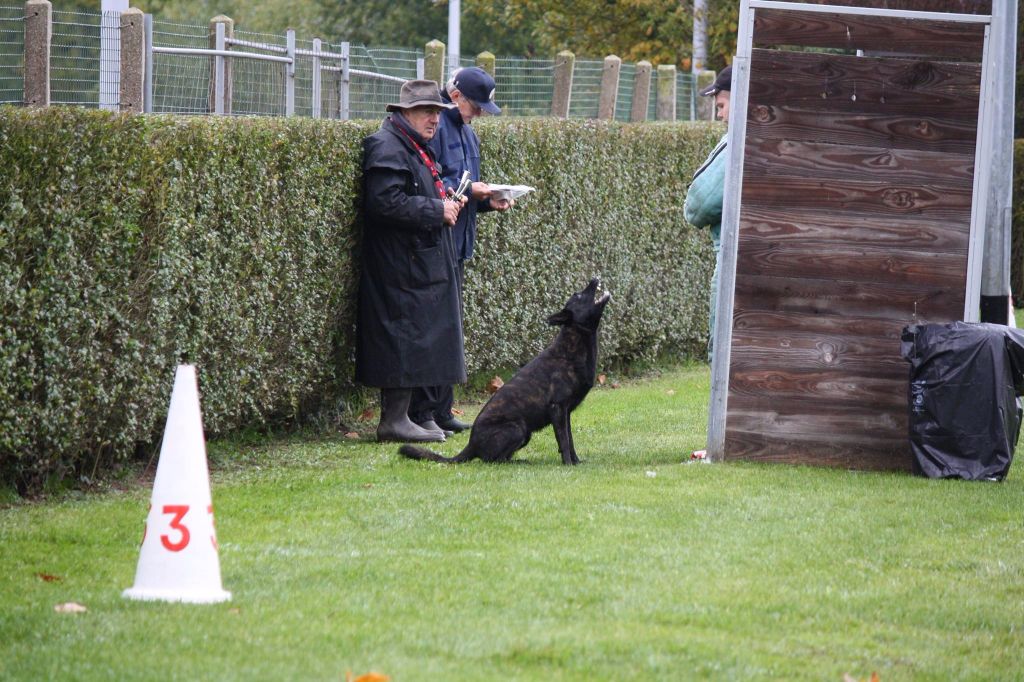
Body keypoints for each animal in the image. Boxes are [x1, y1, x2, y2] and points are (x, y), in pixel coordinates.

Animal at [397, 274, 606, 462]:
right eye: (578, 295)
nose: (595, 279)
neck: (571, 347)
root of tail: (471, 444)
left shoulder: (566, 413)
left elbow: (570, 441)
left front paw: (576, 462)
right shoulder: (558, 409)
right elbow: (563, 441)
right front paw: (568, 464)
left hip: (525, 433)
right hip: (518, 428)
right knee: (494, 460)